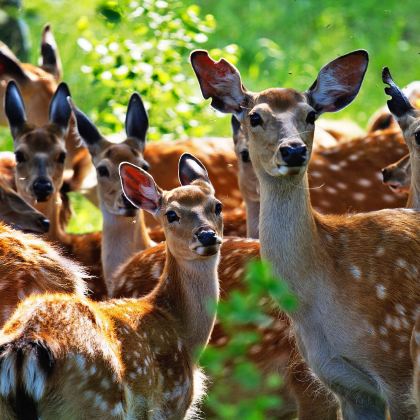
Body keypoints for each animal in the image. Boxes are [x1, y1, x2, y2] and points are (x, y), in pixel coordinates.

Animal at [0, 154, 223, 420]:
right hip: (95, 401)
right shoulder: (171, 403)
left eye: (217, 206)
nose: (207, 235)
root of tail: (25, 348)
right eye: (171, 214)